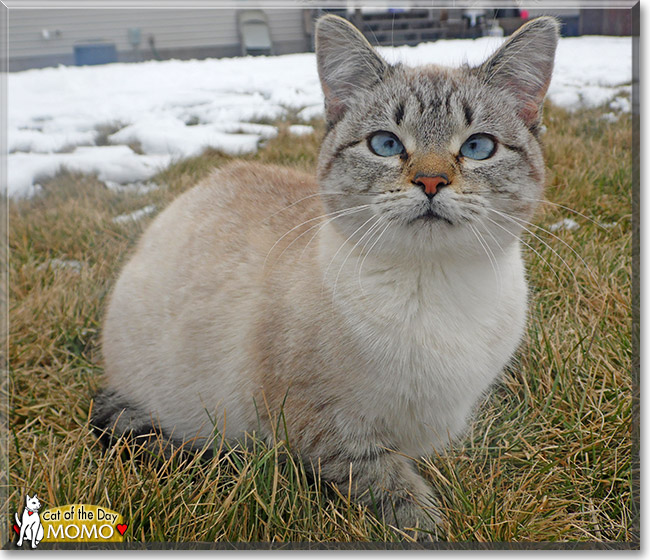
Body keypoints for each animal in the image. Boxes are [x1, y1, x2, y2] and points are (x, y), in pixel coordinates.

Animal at [91, 14, 556, 540]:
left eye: (478, 148)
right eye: (385, 144)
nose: (431, 182)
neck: (433, 292)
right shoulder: (328, 430)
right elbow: (398, 493)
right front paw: (433, 529)